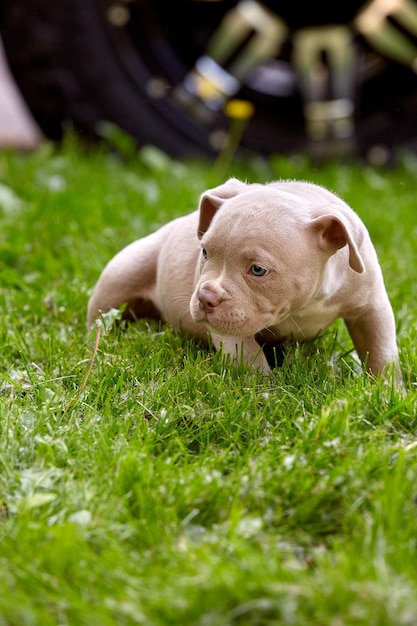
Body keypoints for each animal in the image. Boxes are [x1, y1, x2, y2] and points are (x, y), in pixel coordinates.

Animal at [86, 176, 402, 380]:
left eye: (258, 270)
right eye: (204, 252)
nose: (205, 298)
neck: (305, 304)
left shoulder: (371, 306)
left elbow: (381, 352)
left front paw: (388, 393)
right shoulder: (230, 328)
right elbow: (250, 359)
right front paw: (265, 395)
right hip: (122, 274)